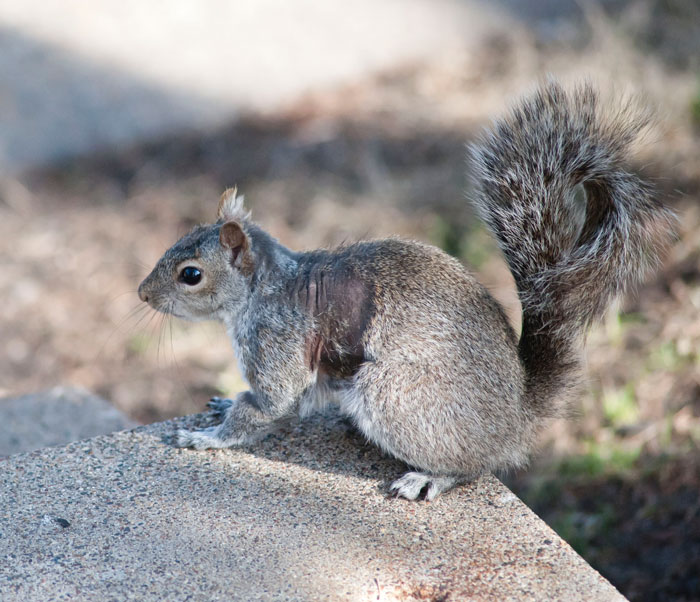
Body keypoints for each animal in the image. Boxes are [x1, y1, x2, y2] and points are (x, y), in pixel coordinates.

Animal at [138, 81, 676, 501]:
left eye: (190, 274)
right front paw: (223, 404)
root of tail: (518, 417)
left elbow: (267, 405)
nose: (143, 295)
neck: (265, 287)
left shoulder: (279, 339)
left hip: (395, 396)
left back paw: (429, 478)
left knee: (474, 465)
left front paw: (207, 438)